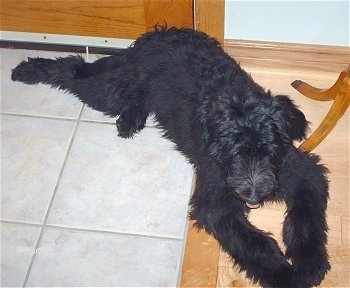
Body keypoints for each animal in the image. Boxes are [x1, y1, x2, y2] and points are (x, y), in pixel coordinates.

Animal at [10, 27, 328, 288]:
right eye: (233, 151)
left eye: (269, 150)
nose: (253, 193)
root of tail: (155, 34)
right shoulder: (215, 201)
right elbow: (254, 244)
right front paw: (286, 276)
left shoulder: (303, 173)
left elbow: (307, 221)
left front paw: (310, 264)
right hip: (110, 90)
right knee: (75, 69)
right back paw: (26, 69)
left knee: (129, 95)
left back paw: (130, 119)